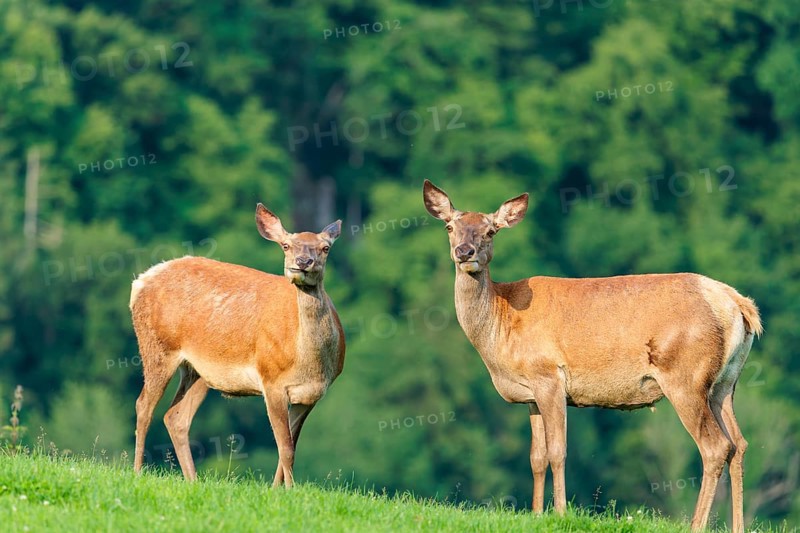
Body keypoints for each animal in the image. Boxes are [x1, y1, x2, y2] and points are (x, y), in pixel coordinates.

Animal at [129, 203, 345, 487]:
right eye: (286, 245)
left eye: (325, 248)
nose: (302, 262)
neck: (310, 364)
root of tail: (140, 281)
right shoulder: (271, 380)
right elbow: (285, 447)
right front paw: (290, 490)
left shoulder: (311, 396)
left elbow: (290, 447)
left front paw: (278, 490)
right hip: (158, 346)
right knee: (144, 405)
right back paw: (137, 471)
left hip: (199, 370)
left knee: (176, 417)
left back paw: (193, 479)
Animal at [422, 180, 761, 532]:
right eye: (450, 227)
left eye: (491, 231)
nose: (464, 252)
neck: (503, 327)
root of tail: (738, 305)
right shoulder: (530, 395)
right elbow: (536, 457)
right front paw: (536, 514)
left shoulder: (549, 376)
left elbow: (557, 451)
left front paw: (559, 514)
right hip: (724, 384)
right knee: (739, 443)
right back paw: (738, 526)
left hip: (685, 377)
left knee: (715, 446)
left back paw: (696, 524)